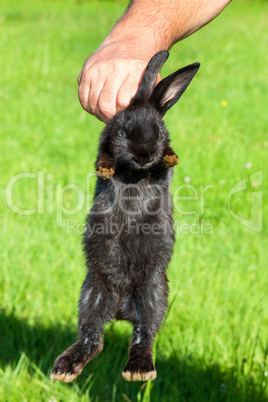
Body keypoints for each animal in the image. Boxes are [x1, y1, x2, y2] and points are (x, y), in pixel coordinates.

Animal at [51, 51, 200, 384]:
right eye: (124, 131)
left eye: (159, 131)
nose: (144, 155)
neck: (135, 172)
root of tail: (120, 308)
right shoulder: (106, 141)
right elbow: (103, 154)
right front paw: (107, 169)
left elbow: (165, 161)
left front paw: (170, 156)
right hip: (93, 292)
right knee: (93, 338)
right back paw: (65, 370)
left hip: (152, 291)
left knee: (144, 335)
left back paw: (137, 371)